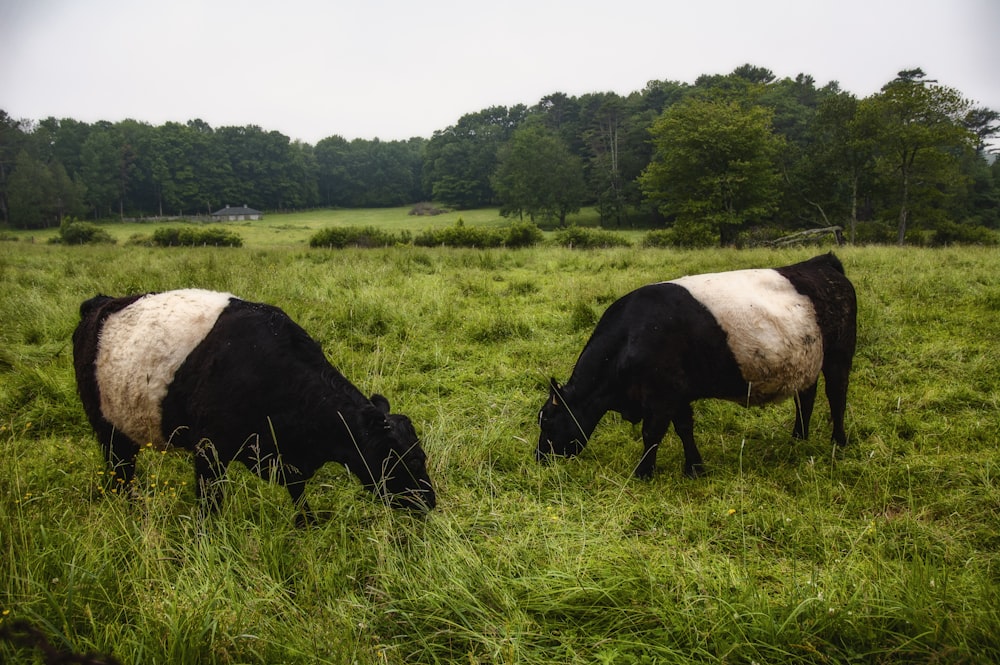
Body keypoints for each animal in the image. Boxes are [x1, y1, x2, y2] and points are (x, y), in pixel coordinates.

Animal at [76, 288, 436, 520]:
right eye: (413, 459)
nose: (429, 502)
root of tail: (99, 303)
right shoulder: (209, 451)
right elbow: (210, 505)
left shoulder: (286, 458)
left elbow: (299, 496)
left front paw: (307, 526)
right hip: (109, 429)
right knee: (121, 475)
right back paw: (132, 513)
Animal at [536, 253, 856, 478]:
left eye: (547, 420)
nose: (540, 458)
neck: (632, 337)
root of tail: (823, 263)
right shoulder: (678, 394)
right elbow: (684, 428)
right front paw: (695, 468)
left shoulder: (662, 395)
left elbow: (652, 434)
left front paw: (643, 473)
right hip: (806, 362)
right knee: (806, 398)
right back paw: (798, 439)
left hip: (839, 356)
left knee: (836, 396)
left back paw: (838, 442)